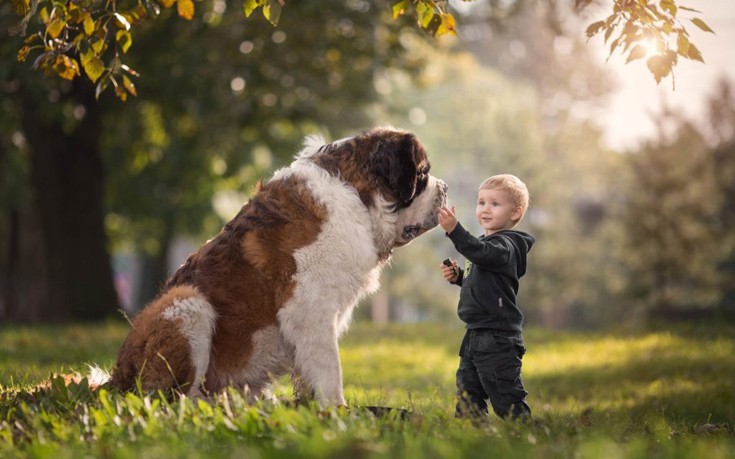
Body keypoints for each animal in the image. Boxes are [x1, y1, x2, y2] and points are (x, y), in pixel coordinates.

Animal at [110, 126, 448, 406]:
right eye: (423, 174)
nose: (445, 187)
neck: (356, 194)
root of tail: (115, 380)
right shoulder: (310, 310)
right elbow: (330, 370)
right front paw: (338, 415)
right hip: (187, 303)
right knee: (172, 400)